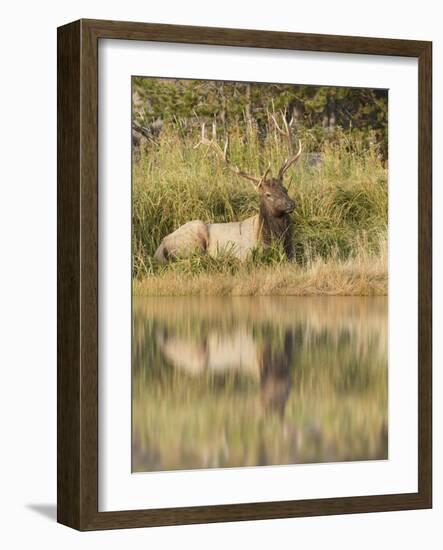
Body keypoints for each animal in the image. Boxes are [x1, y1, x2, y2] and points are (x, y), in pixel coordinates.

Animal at [154, 118, 304, 264]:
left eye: (285, 189)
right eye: (268, 194)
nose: (291, 204)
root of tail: (159, 249)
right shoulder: (245, 254)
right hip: (194, 236)